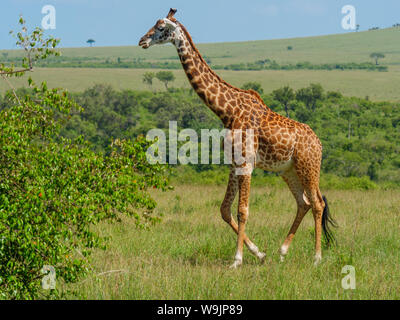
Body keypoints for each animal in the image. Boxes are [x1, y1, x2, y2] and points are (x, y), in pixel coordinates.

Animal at [139, 8, 336, 268]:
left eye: (161, 28)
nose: (142, 41)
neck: (227, 111)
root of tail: (319, 143)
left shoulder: (246, 164)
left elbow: (243, 210)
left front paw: (237, 259)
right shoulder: (233, 163)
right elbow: (225, 209)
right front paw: (259, 253)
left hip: (308, 167)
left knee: (317, 203)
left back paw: (316, 258)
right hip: (288, 171)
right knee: (303, 202)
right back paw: (282, 251)